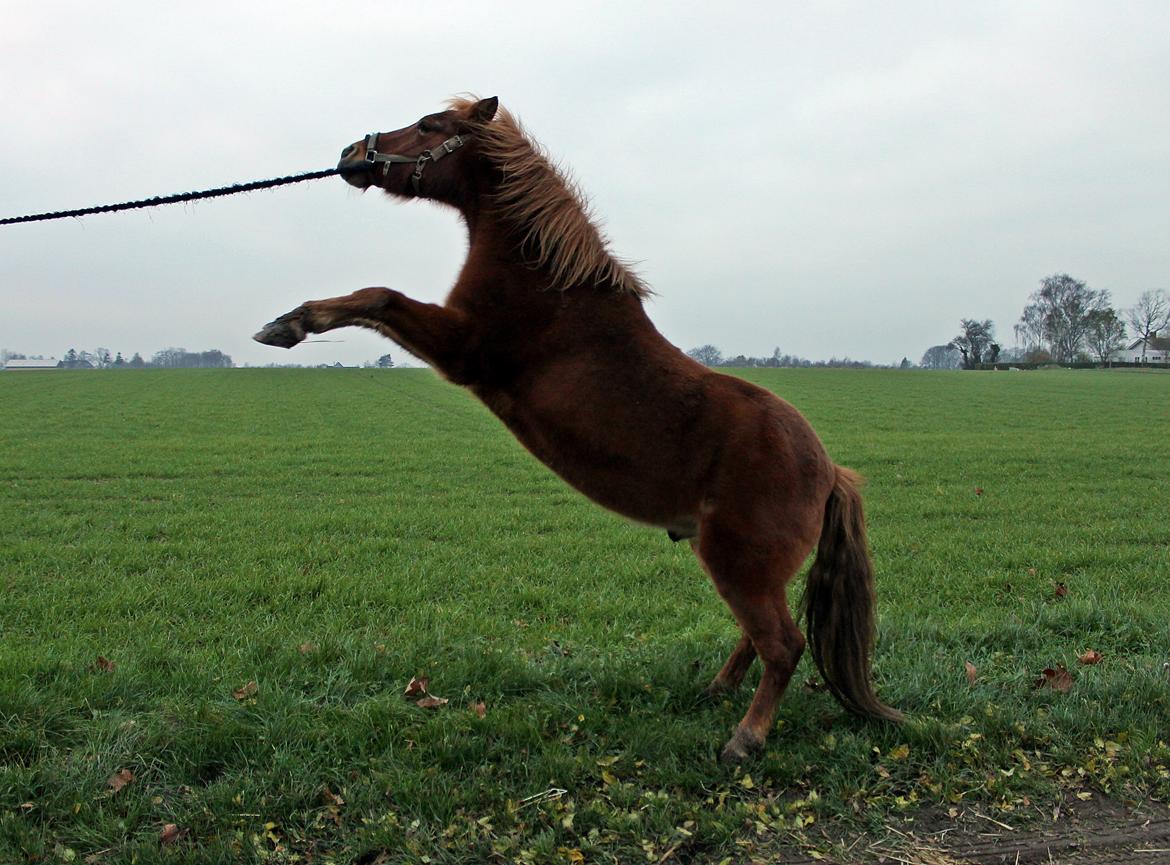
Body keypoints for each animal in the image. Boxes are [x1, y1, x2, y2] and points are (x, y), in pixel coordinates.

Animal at [251, 94, 898, 763]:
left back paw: (744, 741)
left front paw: (289, 325)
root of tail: (830, 471)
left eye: (430, 126)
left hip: (740, 565)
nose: (352, 154)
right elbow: (376, 300)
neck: (546, 281)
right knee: (759, 638)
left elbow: (379, 297)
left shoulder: (464, 351)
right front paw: (288, 324)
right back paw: (715, 691)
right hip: (741, 567)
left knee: (783, 645)